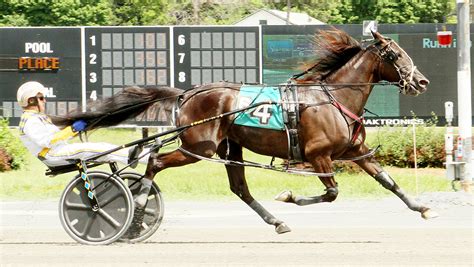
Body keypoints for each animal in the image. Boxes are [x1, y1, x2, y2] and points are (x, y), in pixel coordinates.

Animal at [55, 28, 436, 234]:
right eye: (395, 54)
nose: (421, 81)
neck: (330, 98)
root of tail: (187, 93)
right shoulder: (319, 155)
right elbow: (331, 193)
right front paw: (290, 196)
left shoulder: (353, 152)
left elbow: (388, 181)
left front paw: (422, 207)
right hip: (200, 146)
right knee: (156, 161)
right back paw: (136, 207)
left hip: (229, 147)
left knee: (239, 188)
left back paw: (276, 221)